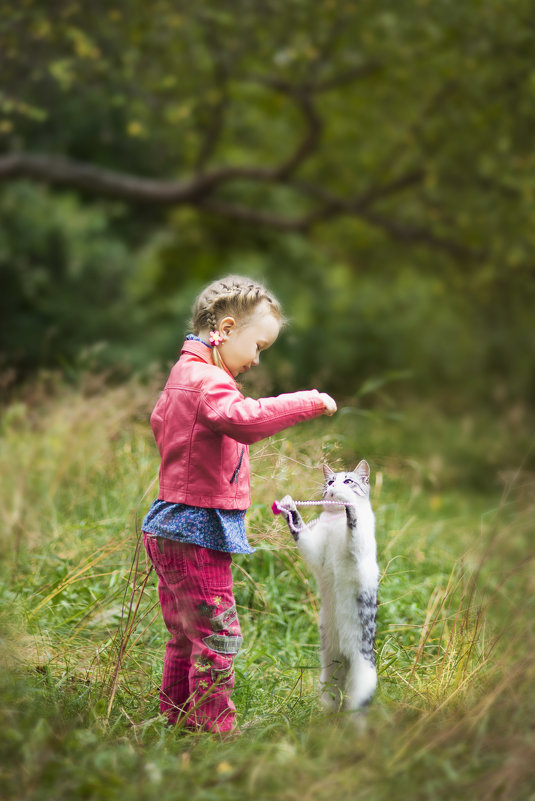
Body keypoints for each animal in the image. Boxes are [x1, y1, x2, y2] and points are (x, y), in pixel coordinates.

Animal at [278, 462, 378, 720]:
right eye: (330, 481)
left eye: (348, 481)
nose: (334, 487)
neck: (334, 522)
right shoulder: (316, 553)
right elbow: (300, 530)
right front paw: (288, 506)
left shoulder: (357, 549)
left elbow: (354, 527)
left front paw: (349, 506)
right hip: (329, 677)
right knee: (335, 701)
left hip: (363, 678)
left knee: (357, 709)